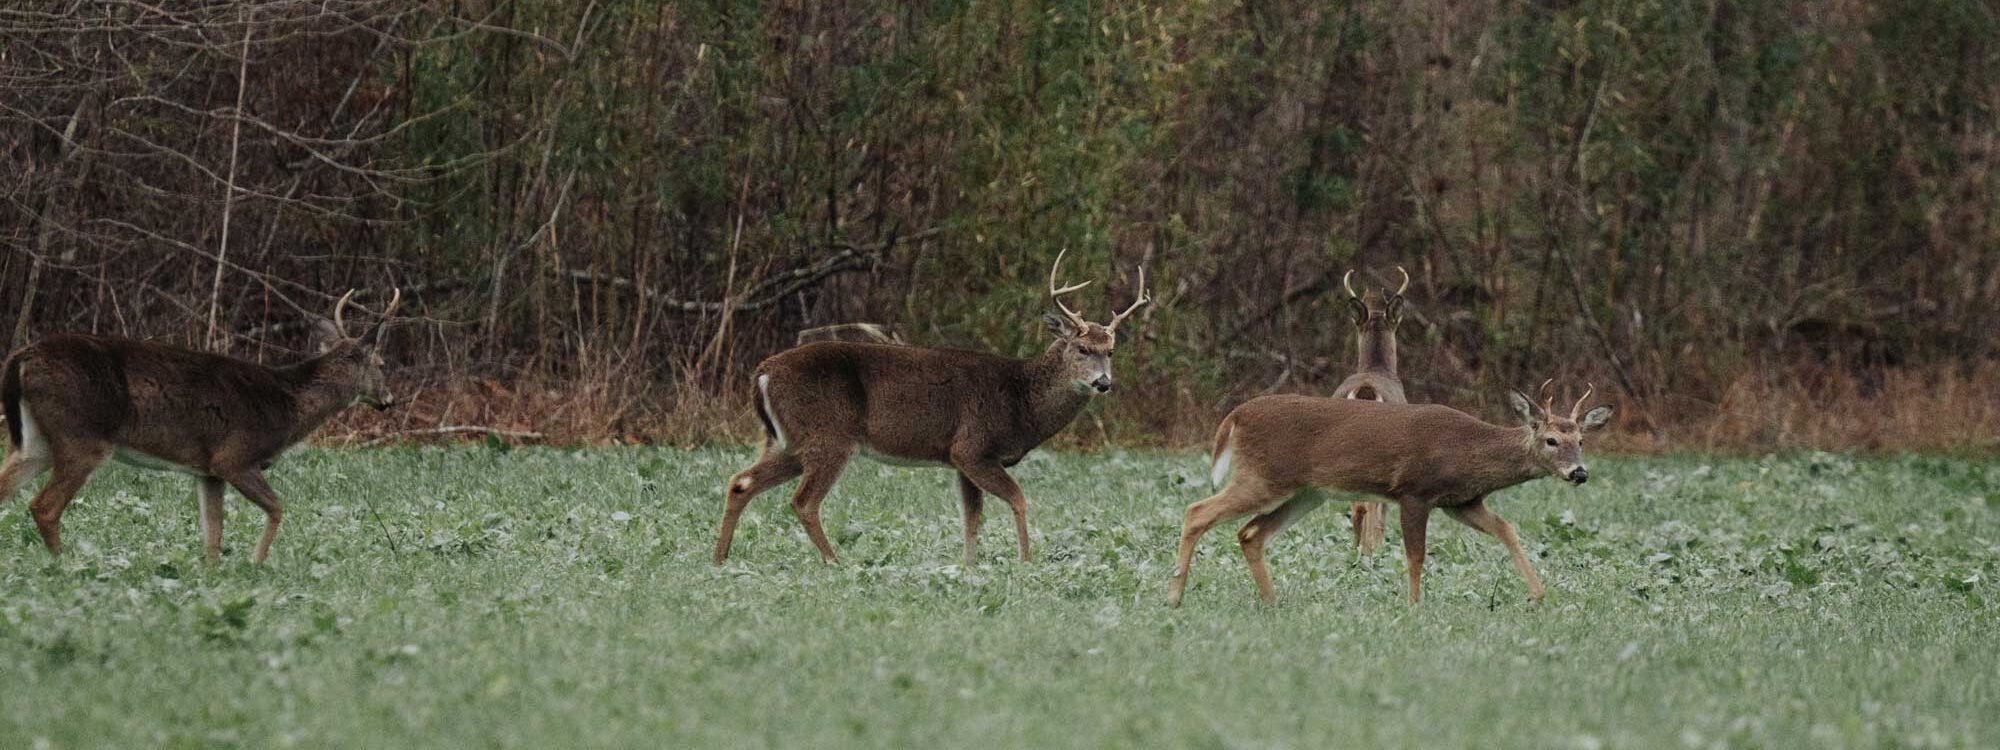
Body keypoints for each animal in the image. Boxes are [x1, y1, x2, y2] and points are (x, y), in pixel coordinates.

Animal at [0, 290, 402, 564]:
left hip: (35, 443)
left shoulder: (207, 471)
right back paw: (63, 564)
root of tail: (22, 357)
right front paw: (256, 563)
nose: (389, 399)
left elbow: (213, 535)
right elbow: (276, 508)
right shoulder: (235, 456)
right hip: (83, 436)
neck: (287, 405)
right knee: (44, 506)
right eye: (382, 363)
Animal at [716, 250, 1160, 568]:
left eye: (1110, 351)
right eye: (1082, 348)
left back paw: (720, 559)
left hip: (788, 440)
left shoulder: (960, 459)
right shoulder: (973, 446)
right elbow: (1017, 500)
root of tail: (762, 373)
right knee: (803, 501)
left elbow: (971, 518)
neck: (1021, 402)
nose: (1103, 383)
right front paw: (1025, 561)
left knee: (741, 481)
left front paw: (969, 567)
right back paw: (835, 562)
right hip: (828, 435)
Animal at [1168, 384, 1608, 608]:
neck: (1466, 451)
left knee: (1249, 533)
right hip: (1263, 477)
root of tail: (1235, 417)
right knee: (1196, 511)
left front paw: (1540, 595)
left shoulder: (1461, 502)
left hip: (1305, 492)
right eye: (1551, 440)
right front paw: (1413, 607)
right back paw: (1174, 596)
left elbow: (1507, 530)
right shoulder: (1414, 490)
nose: (1579, 473)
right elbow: (1415, 555)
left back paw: (1273, 602)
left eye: (1581, 441)